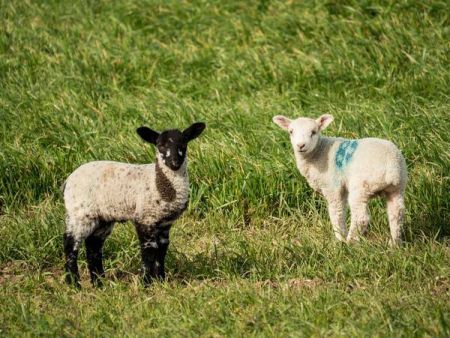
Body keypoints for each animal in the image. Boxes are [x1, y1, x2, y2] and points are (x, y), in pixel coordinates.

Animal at [270, 114, 408, 246]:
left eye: (313, 132)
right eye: (291, 132)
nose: (300, 145)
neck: (318, 152)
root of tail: (391, 167)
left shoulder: (332, 186)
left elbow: (336, 212)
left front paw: (339, 239)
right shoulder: (342, 187)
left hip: (361, 186)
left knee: (361, 217)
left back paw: (350, 241)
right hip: (398, 187)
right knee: (397, 213)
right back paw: (394, 244)